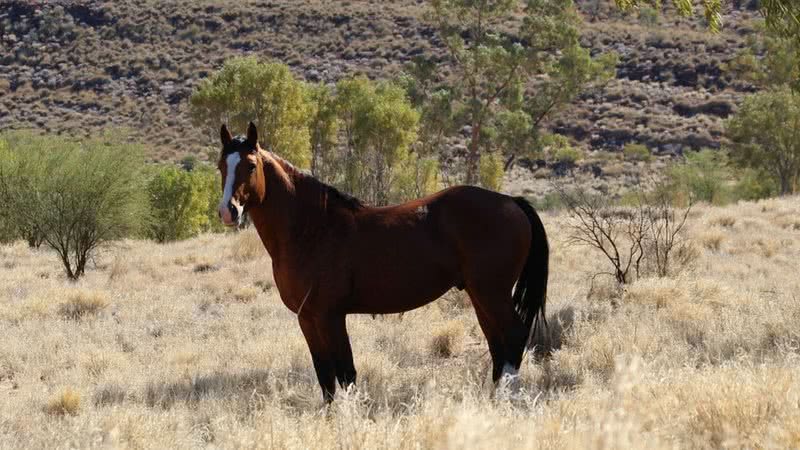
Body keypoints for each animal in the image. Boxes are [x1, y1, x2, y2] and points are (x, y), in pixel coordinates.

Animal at [216, 122, 548, 400]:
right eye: (221, 165)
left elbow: (345, 373)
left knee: (514, 337)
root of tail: (511, 202)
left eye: (250, 165)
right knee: (497, 343)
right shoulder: (307, 318)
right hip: (481, 296)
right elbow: (325, 377)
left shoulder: (330, 316)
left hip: (492, 293)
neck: (312, 228)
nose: (228, 211)